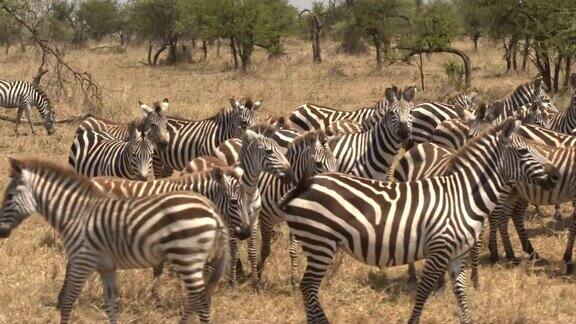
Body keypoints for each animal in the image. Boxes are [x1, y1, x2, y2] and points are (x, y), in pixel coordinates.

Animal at [0, 158, 230, 322]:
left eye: (9, 196)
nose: (1, 232)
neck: (75, 213)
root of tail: (211, 208)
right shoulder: (106, 267)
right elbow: (110, 304)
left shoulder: (82, 260)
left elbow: (67, 302)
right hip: (192, 260)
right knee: (196, 300)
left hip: (186, 257)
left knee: (201, 301)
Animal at [280, 119, 560, 324]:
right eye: (523, 151)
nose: (556, 175)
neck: (462, 196)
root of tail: (305, 183)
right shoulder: (439, 250)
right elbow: (424, 292)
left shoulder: (457, 254)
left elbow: (461, 293)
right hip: (320, 243)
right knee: (307, 287)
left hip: (318, 245)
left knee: (308, 289)